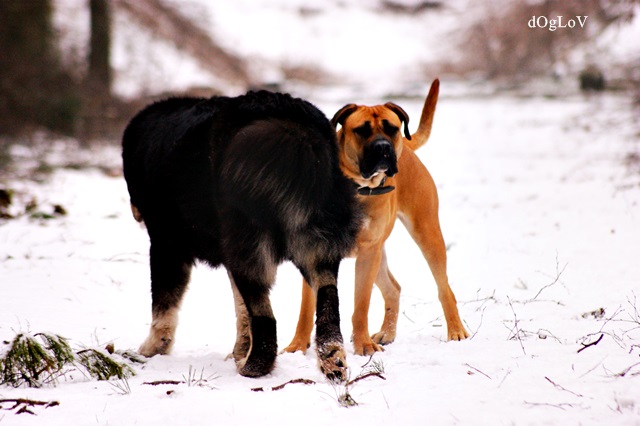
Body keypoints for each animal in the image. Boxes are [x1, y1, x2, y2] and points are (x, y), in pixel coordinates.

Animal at [122, 91, 362, 380]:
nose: (134, 211)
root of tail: (294, 125)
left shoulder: (166, 243)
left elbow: (163, 303)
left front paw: (152, 349)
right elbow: (241, 311)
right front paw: (239, 349)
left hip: (249, 241)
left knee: (266, 318)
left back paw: (253, 366)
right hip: (320, 238)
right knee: (328, 298)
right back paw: (331, 358)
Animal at [283, 79, 469, 356]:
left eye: (392, 128)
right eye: (361, 130)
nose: (383, 147)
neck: (354, 187)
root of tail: (407, 148)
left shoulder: (368, 253)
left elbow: (361, 305)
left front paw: (363, 346)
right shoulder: (315, 250)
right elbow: (306, 310)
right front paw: (296, 347)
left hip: (425, 234)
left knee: (444, 288)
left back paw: (455, 329)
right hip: (381, 252)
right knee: (393, 289)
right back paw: (387, 333)